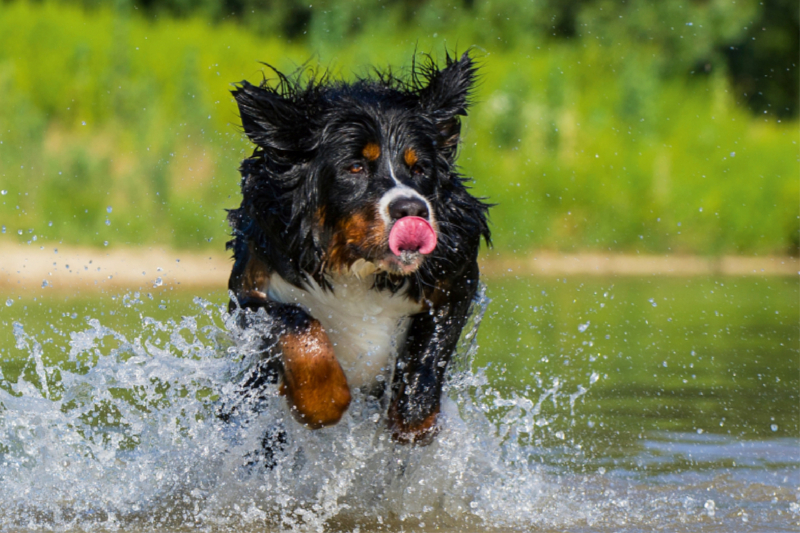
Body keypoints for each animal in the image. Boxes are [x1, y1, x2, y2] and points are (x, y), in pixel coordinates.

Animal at [223, 51, 488, 444]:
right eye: (355, 167)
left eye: (420, 168)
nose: (412, 209)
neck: (357, 269)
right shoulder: (250, 286)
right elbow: (295, 322)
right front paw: (322, 401)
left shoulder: (455, 274)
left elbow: (428, 356)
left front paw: (413, 421)